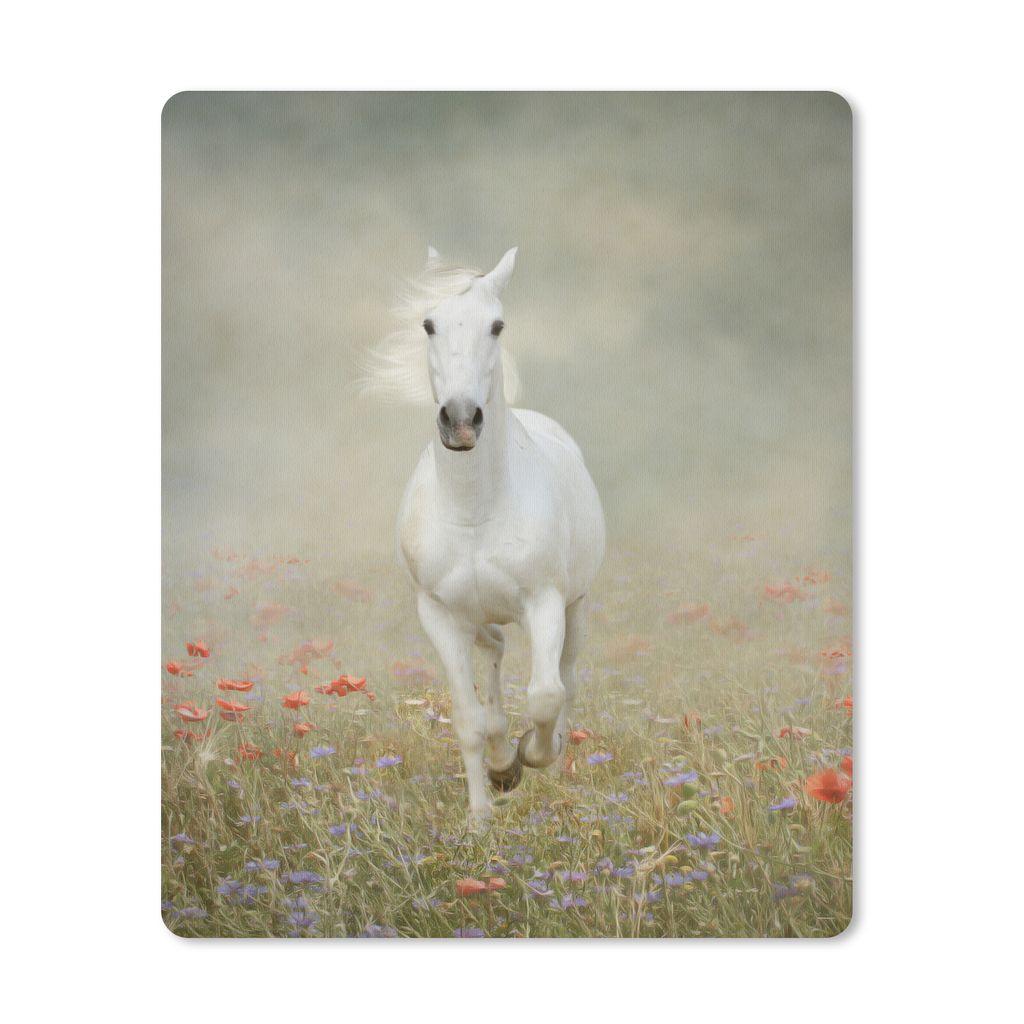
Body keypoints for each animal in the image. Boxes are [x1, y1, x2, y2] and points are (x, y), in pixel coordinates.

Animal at [362, 246, 606, 822]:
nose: (460, 419)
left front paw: (530, 756)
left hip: (576, 607)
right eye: (427, 324)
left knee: (567, 680)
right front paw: (484, 804)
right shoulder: (439, 616)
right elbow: (469, 720)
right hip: (476, 614)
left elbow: (545, 694)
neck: (475, 511)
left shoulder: (544, 601)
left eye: (497, 325)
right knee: (493, 650)